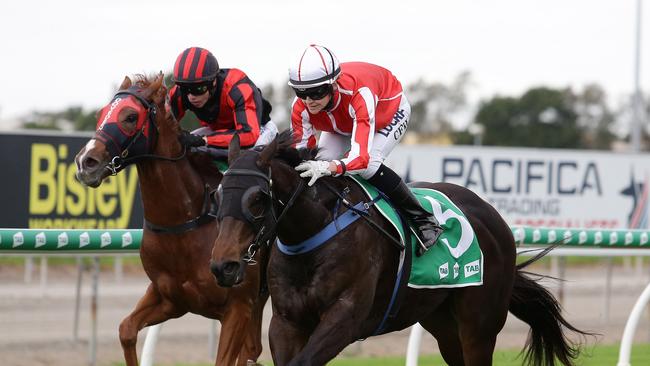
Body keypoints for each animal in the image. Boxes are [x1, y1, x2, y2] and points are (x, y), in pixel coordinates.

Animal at [74, 74, 268, 366]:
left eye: (130, 116)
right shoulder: (169, 299)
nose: (86, 162)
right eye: (101, 114)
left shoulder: (238, 306)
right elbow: (126, 330)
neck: (186, 224)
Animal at [209, 132, 588, 366]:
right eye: (217, 193)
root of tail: (494, 217)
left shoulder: (345, 318)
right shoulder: (286, 322)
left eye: (258, 198)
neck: (315, 231)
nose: (222, 266)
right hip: (442, 322)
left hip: (479, 325)